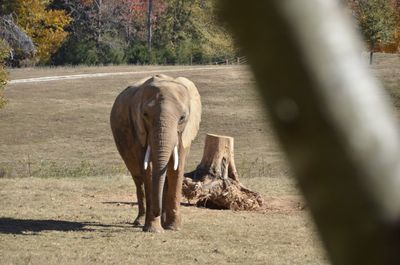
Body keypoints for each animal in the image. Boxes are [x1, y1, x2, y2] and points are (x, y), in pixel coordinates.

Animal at [109, 73, 202, 231]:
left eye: (182, 117)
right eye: (145, 114)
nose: (156, 211)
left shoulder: (185, 132)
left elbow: (177, 169)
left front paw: (174, 228)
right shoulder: (139, 130)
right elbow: (150, 170)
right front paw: (154, 229)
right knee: (138, 178)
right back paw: (140, 221)